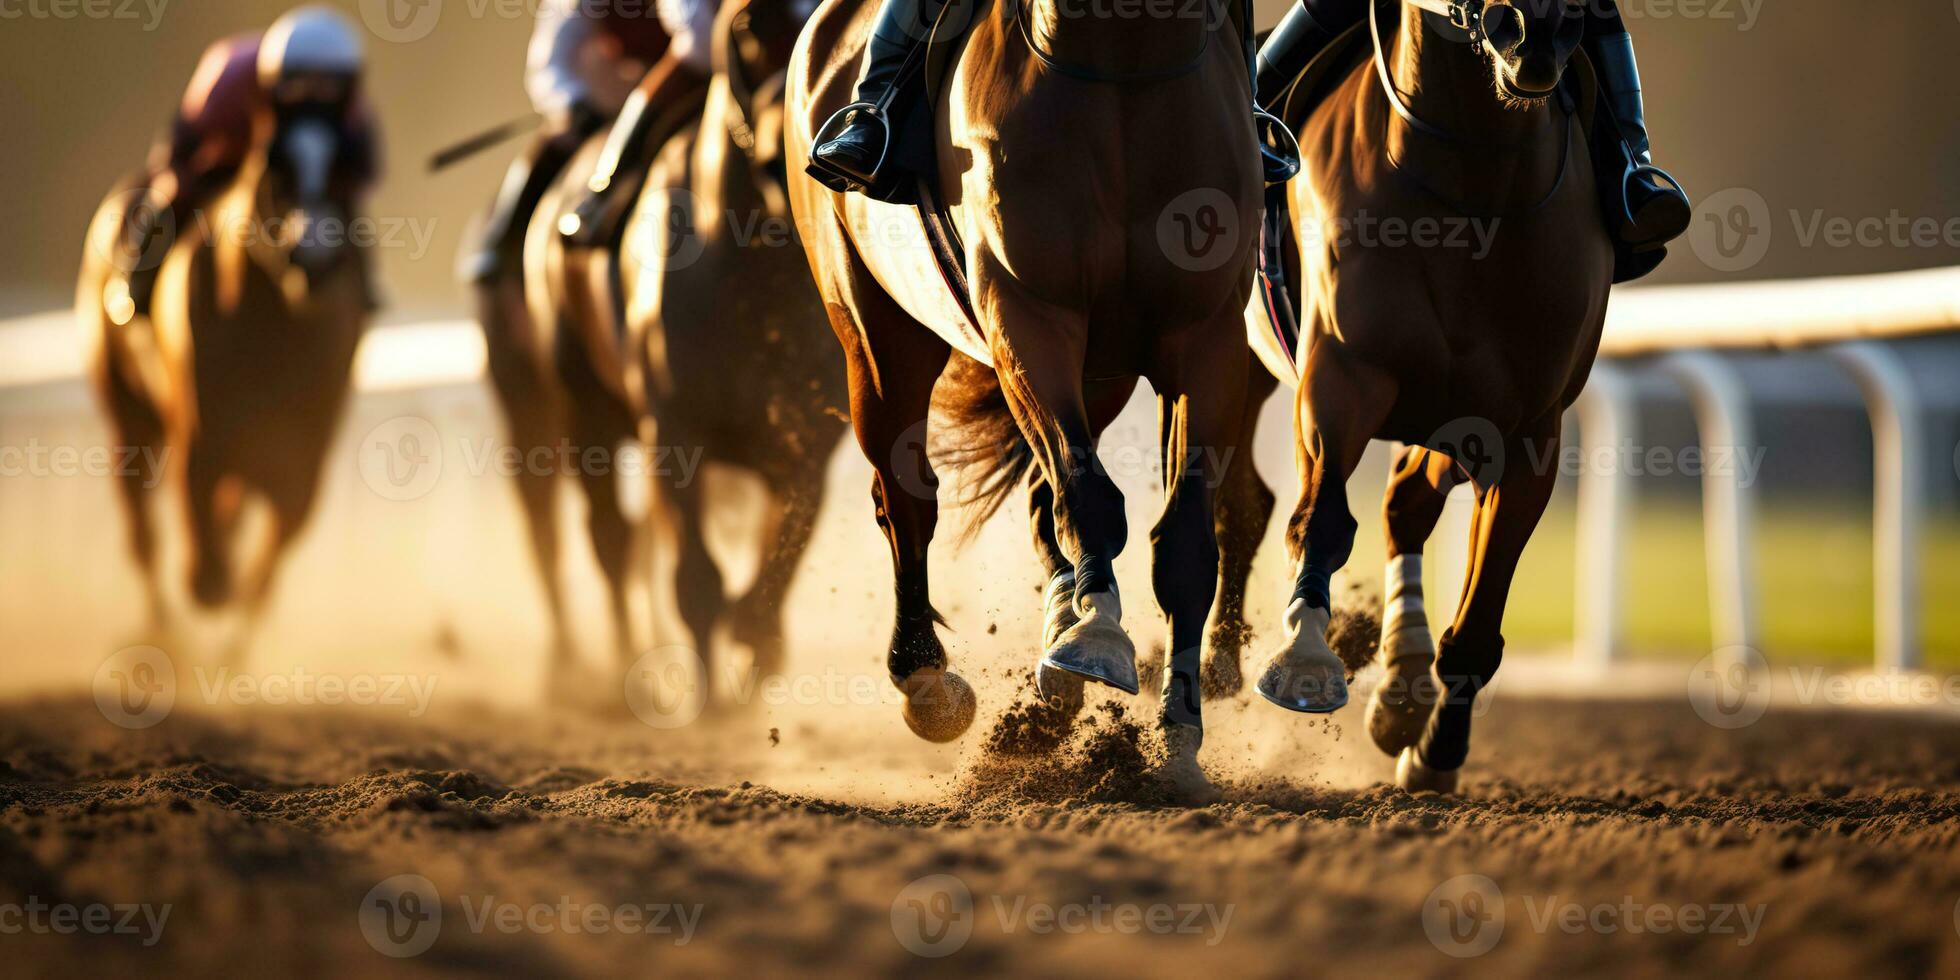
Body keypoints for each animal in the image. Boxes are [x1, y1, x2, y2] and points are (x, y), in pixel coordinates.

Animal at [81, 103, 370, 662]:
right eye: (276, 166)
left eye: (346, 169)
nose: (313, 258)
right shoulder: (200, 438)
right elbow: (206, 568)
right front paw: (214, 594)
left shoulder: (305, 455)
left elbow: (270, 551)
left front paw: (237, 647)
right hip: (126, 411)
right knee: (143, 533)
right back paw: (162, 633)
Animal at [623, 0, 846, 705]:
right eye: (750, 23)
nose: (795, 154)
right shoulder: (671, 432)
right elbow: (697, 581)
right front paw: (710, 704)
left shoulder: (807, 443)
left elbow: (773, 575)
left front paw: (756, 649)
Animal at [787, 0, 1262, 787]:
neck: (1123, 65)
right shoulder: (1029, 312)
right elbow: (1089, 497)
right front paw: (1096, 638)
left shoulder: (1209, 338)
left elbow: (1185, 543)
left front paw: (1178, 737)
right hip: (876, 332)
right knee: (907, 497)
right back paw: (928, 680)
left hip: (1104, 375)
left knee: (1042, 498)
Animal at [1246, 0, 1615, 791]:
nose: (1534, 33)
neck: (1473, 183)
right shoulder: (1341, 375)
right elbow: (1322, 518)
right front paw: (1305, 661)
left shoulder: (1523, 428)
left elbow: (1477, 617)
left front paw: (1435, 746)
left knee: (1404, 501)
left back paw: (1402, 685)